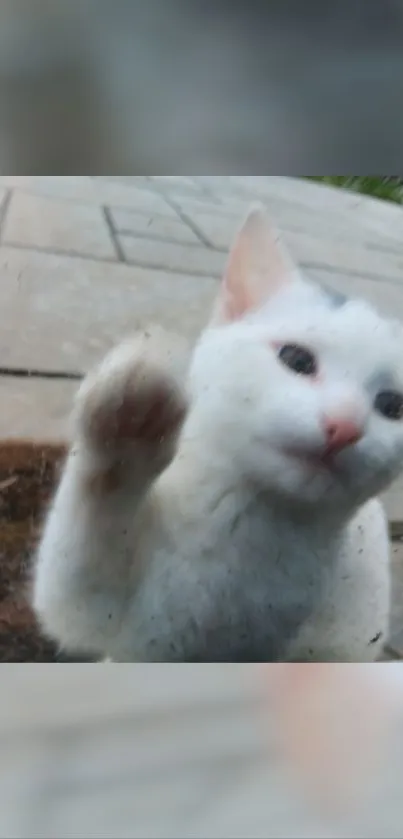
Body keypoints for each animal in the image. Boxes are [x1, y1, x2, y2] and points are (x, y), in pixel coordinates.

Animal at [32, 205, 403, 664]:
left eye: (393, 406)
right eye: (297, 359)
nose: (346, 427)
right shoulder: (104, 615)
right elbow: (79, 577)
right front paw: (130, 422)